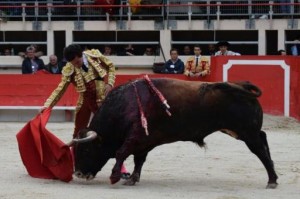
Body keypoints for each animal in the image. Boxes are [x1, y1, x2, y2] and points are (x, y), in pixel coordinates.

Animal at [70, 77, 278, 188]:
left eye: (86, 150)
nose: (78, 173)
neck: (125, 106)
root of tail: (242, 86)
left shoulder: (135, 136)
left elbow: (122, 153)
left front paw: (115, 177)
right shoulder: (144, 142)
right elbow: (139, 160)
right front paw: (133, 179)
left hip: (247, 132)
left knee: (260, 150)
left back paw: (272, 180)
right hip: (240, 131)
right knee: (263, 139)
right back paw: (273, 177)